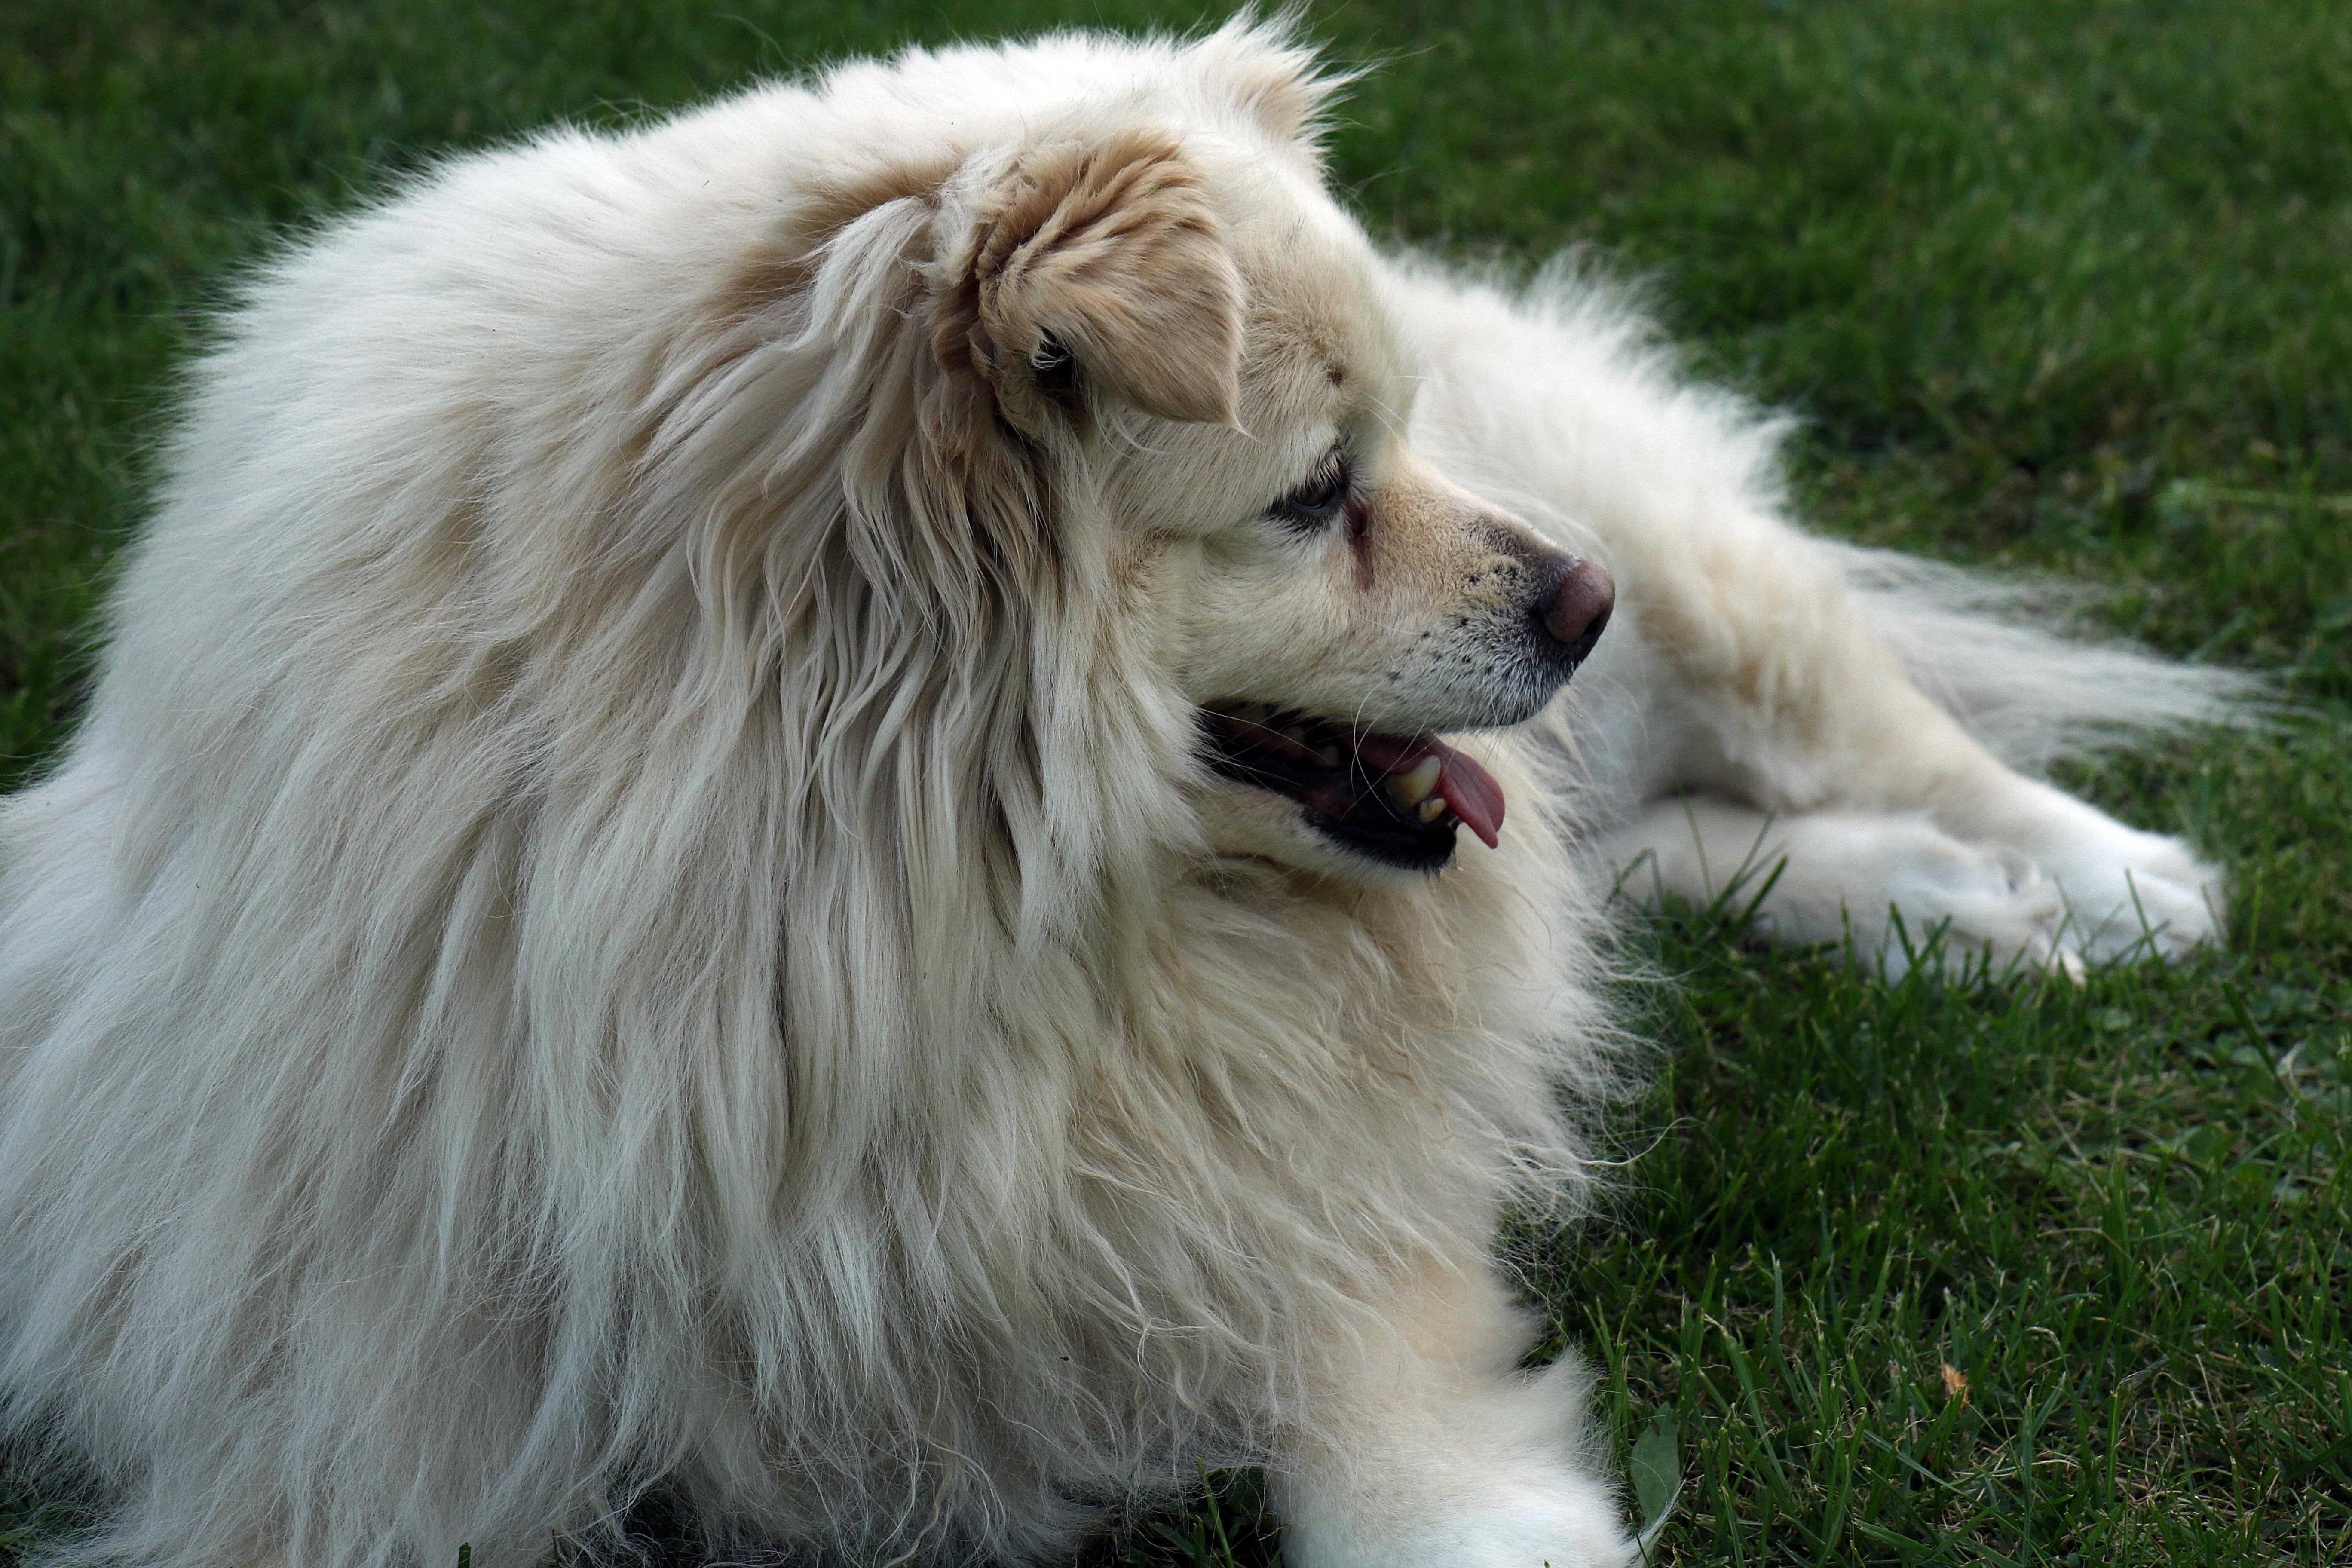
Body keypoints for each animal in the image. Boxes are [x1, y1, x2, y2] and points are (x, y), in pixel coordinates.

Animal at [0, 15, 2239, 1568]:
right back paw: (1945, 919)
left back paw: (2111, 889)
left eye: (1396, 448)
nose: (1575, 598)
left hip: (1714, 603)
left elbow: (1394, 1434)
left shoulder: (1294, 1201)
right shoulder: (370, 1377)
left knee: (1882, 734)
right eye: (1314, 497)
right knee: (1667, 858)